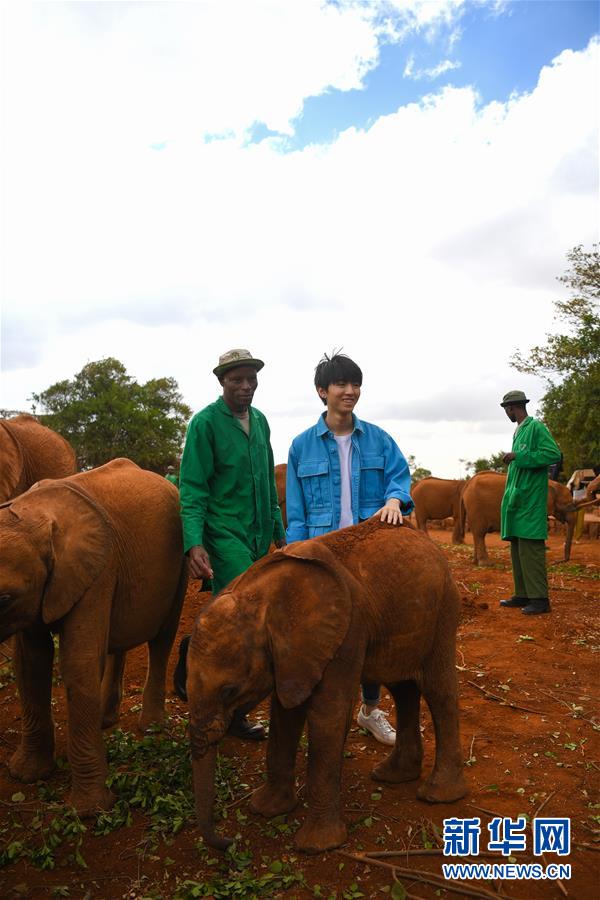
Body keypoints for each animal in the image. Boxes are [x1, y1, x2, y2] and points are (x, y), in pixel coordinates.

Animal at [0, 460, 188, 820]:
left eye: (3, 597)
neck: (34, 512)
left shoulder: (97, 570)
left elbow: (79, 662)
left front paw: (89, 812)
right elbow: (31, 662)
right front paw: (26, 775)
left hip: (180, 563)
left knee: (162, 638)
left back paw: (152, 729)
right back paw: (105, 720)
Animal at [190, 516, 466, 856]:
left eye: (230, 691)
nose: (230, 842)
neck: (262, 597)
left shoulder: (345, 634)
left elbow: (328, 716)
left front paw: (315, 846)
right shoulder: (291, 655)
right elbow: (285, 714)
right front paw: (266, 809)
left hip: (444, 610)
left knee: (439, 691)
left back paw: (438, 795)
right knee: (403, 690)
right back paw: (393, 776)